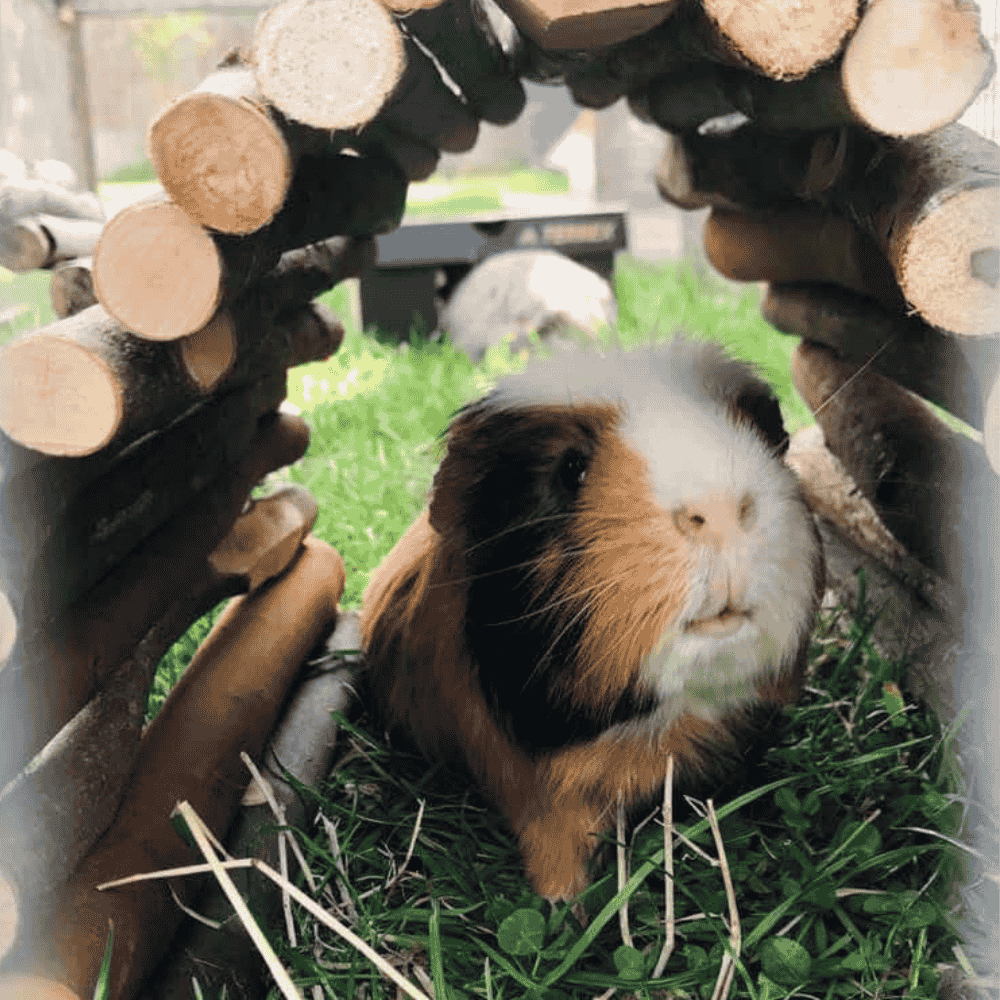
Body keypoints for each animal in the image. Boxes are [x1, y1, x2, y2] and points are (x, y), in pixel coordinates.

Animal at [361, 337, 825, 903]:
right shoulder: (540, 793)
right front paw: (567, 904)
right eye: (572, 469)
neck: (651, 724)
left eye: (761, 434)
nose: (717, 507)